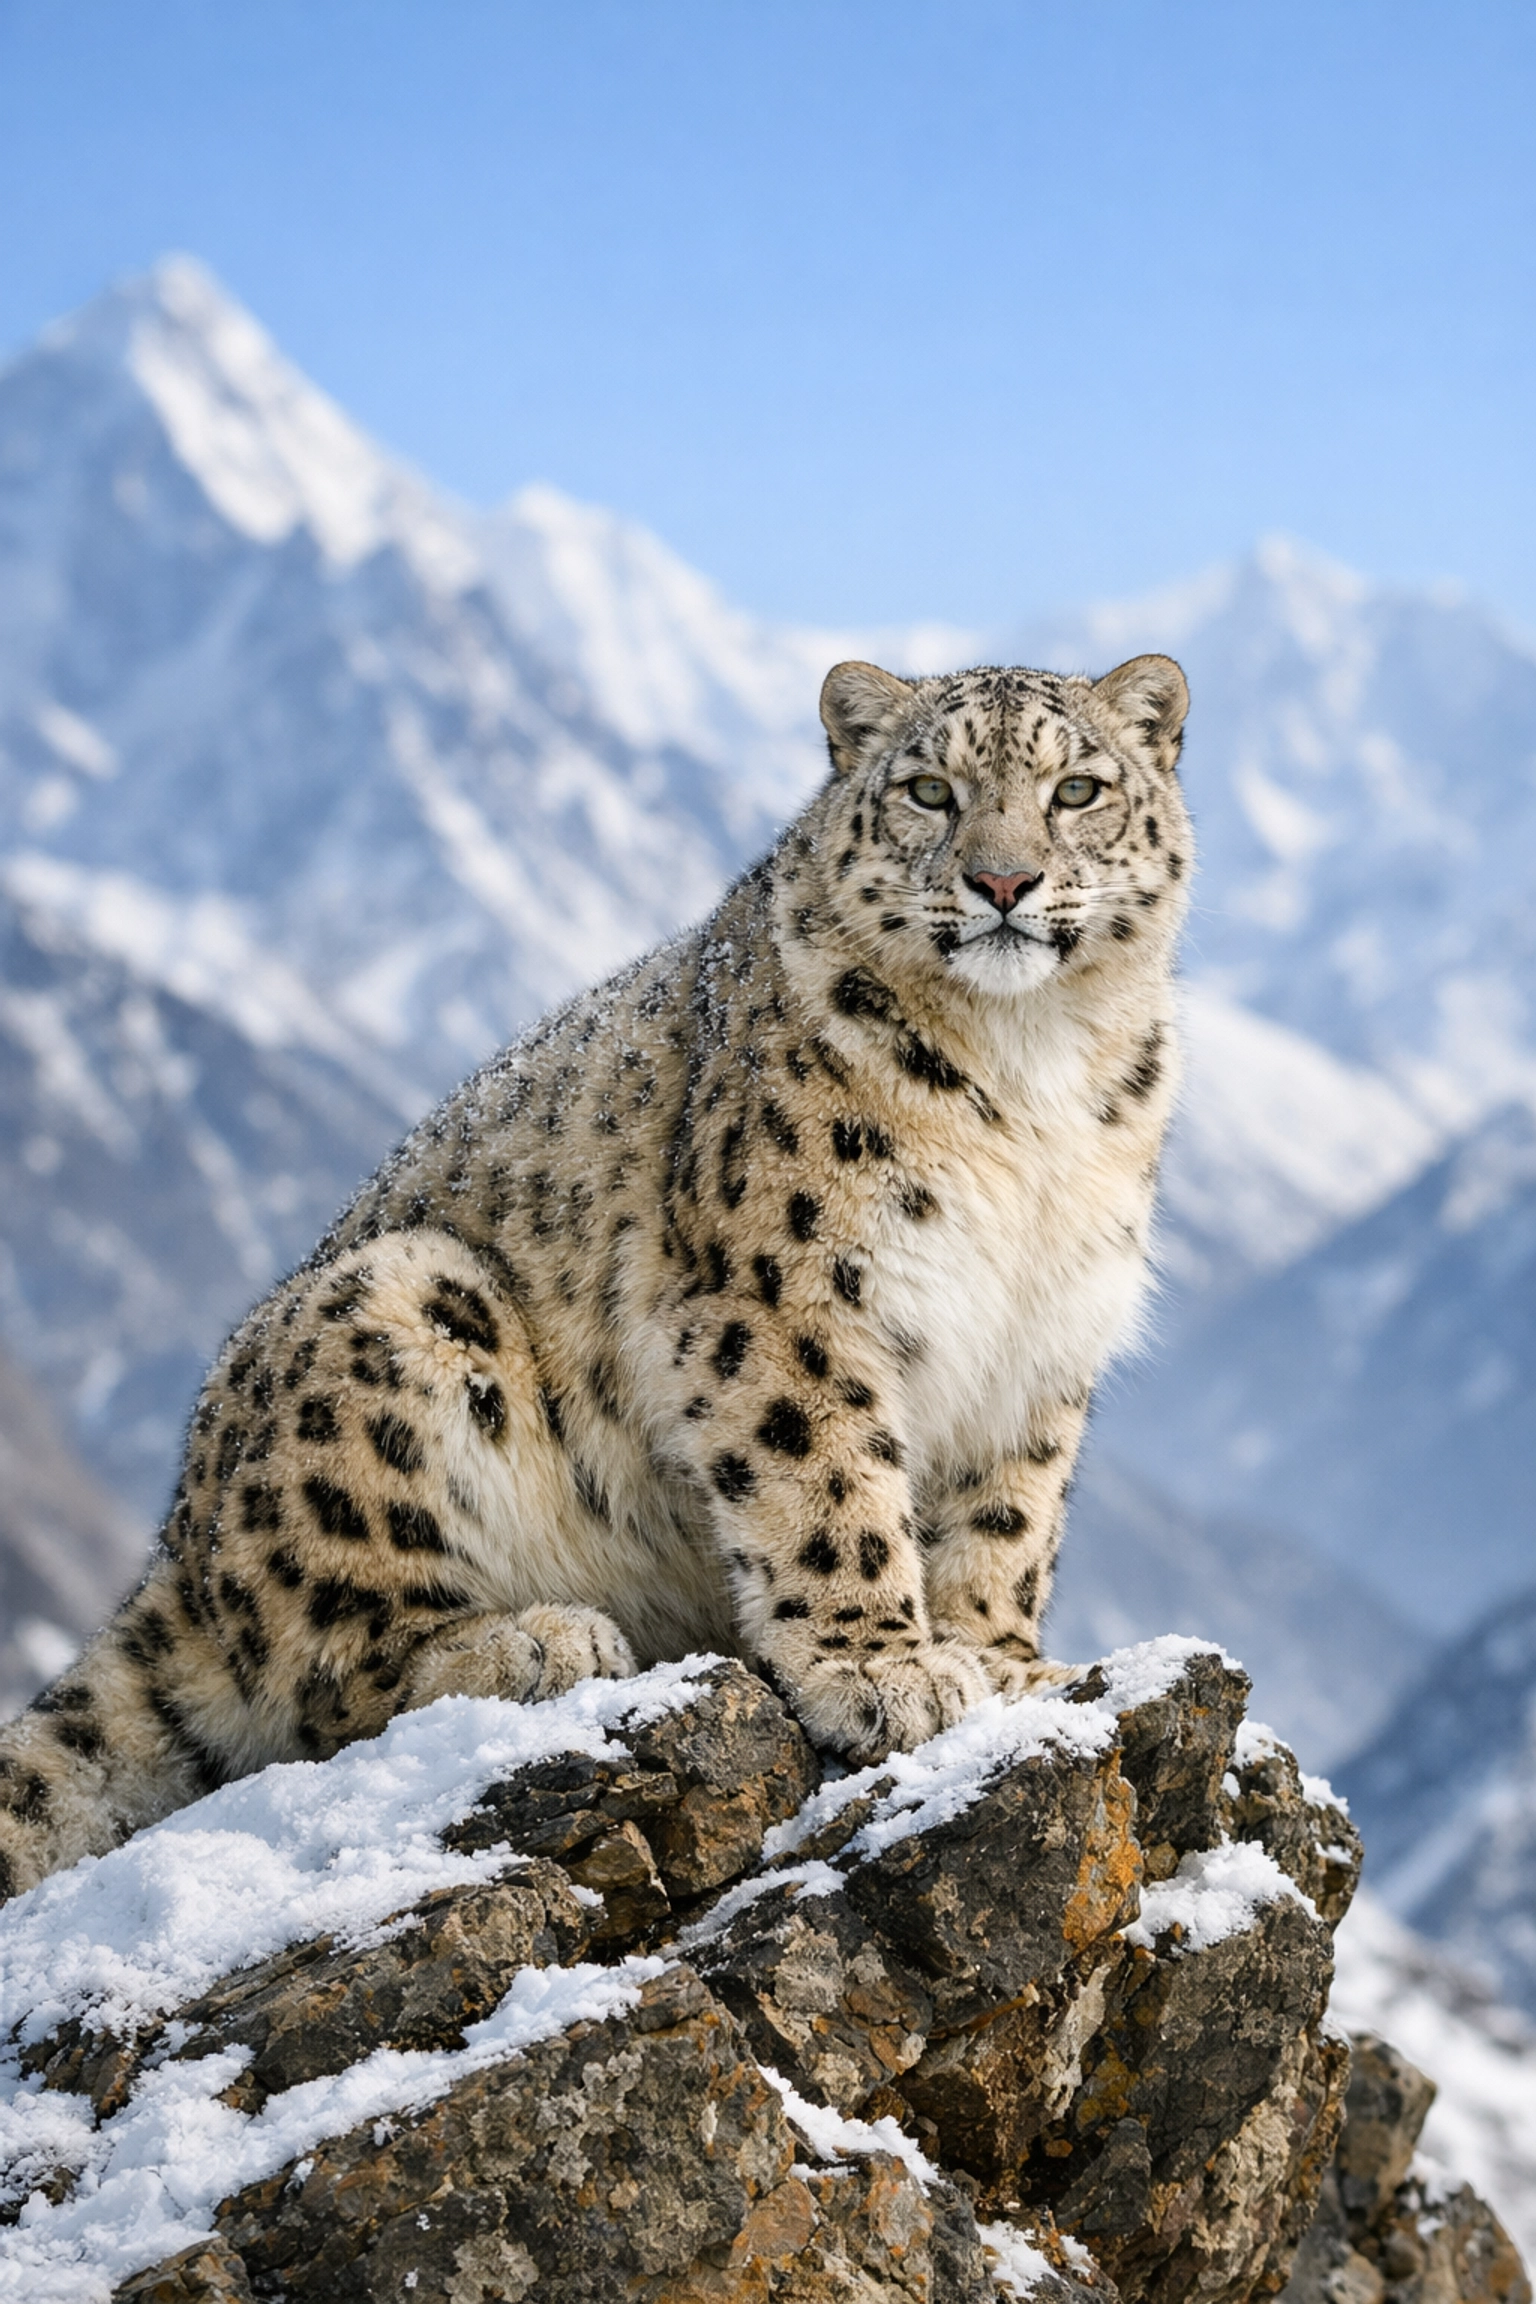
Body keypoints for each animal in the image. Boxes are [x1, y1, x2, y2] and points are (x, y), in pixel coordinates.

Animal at [0, 651, 1191, 1899]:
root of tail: (174, 1546)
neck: (1033, 1079)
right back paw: (534, 1639)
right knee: (320, 1674)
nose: (1003, 879)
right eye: (928, 790)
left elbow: (1011, 1520)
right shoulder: (786, 1300)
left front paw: (1000, 1659)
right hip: (397, 1308)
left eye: (1076, 791)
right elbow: (827, 1485)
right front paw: (882, 1670)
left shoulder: (1046, 1337)